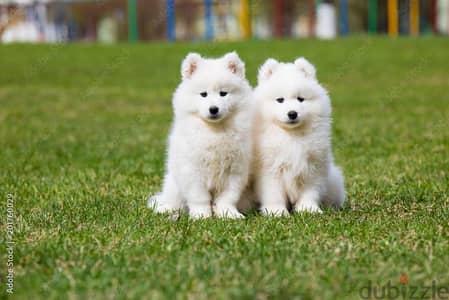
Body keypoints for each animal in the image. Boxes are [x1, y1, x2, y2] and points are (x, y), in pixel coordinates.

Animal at [148, 52, 250, 218]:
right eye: (203, 94)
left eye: (223, 93)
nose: (213, 109)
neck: (214, 130)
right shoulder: (192, 171)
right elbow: (199, 197)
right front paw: (202, 216)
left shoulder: (235, 170)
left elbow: (228, 197)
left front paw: (229, 214)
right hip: (174, 183)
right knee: (173, 200)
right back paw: (165, 208)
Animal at [252, 56, 344, 216]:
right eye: (280, 100)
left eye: (300, 99)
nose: (292, 113)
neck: (291, 135)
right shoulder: (269, 169)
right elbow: (273, 194)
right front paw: (277, 212)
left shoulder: (313, 166)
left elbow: (310, 191)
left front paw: (309, 209)